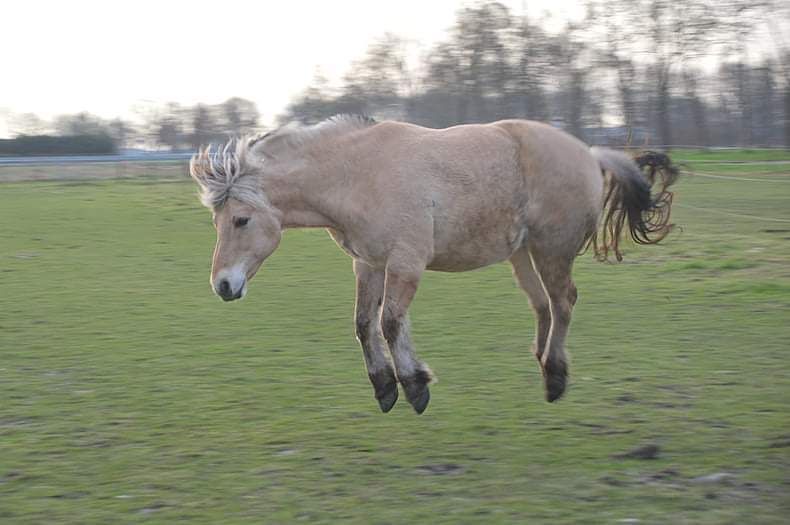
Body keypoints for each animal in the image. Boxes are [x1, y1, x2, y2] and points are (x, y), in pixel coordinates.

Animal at [189, 115, 677, 414]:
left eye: (241, 220)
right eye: (216, 222)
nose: (223, 285)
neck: (357, 175)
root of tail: (590, 153)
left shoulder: (406, 263)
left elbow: (390, 322)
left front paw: (414, 385)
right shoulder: (369, 265)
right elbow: (364, 324)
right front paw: (385, 387)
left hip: (551, 250)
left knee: (564, 303)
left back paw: (555, 377)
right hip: (522, 255)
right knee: (543, 306)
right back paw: (542, 362)